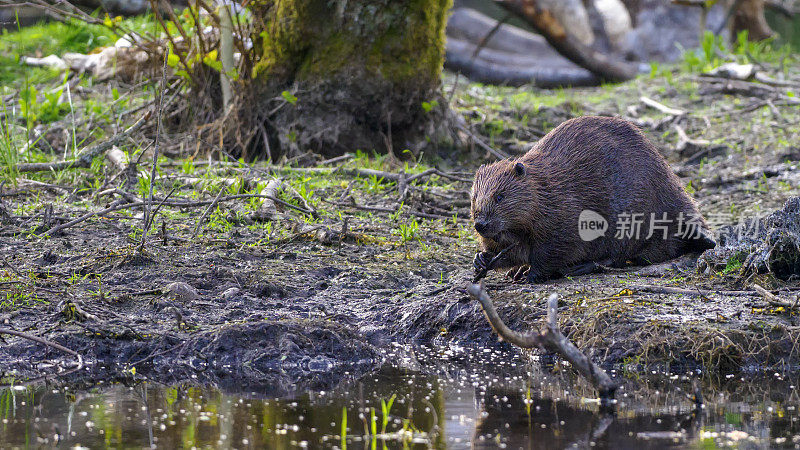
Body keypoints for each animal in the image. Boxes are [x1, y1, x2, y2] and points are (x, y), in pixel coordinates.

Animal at [472, 117, 716, 284]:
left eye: (499, 196)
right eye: (473, 198)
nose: (480, 224)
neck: (544, 189)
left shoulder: (565, 212)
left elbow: (553, 249)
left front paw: (530, 275)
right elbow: (511, 250)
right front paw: (482, 259)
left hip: (635, 220)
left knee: (618, 256)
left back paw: (578, 268)